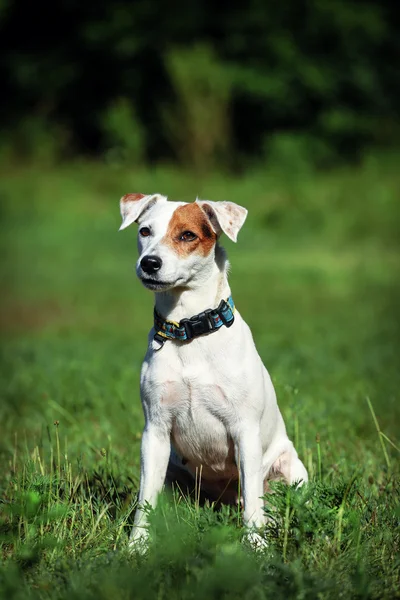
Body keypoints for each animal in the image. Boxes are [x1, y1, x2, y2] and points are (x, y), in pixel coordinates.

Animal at [119, 192, 310, 548]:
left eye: (187, 235)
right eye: (145, 231)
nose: (149, 263)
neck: (189, 330)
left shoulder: (245, 432)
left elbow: (252, 503)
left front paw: (256, 547)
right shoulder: (155, 431)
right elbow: (144, 501)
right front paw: (137, 546)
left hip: (292, 472)